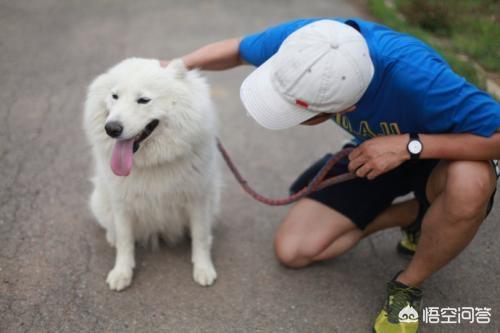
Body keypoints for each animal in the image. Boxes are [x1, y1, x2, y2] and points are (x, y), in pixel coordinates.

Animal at [83, 57, 219, 290]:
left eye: (143, 100)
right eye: (114, 96)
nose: (111, 128)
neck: (153, 163)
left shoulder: (198, 199)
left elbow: (200, 237)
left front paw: (203, 269)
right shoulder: (121, 203)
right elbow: (125, 242)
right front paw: (122, 273)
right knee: (112, 229)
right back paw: (112, 237)